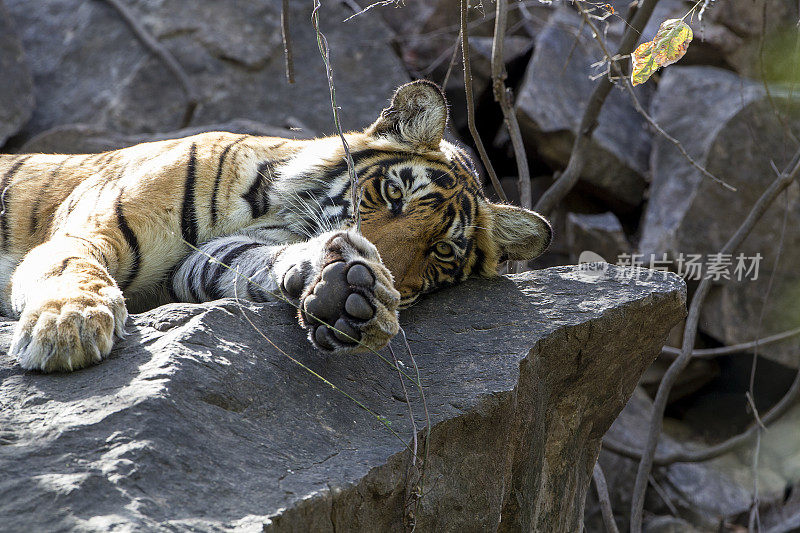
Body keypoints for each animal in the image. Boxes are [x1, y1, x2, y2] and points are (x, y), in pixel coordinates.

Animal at [0, 80, 552, 370]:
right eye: (394, 194)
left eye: (440, 251)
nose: (384, 267)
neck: (270, 207)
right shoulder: (88, 230)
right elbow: (72, 269)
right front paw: (66, 327)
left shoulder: (200, 264)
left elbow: (256, 263)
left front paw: (349, 296)